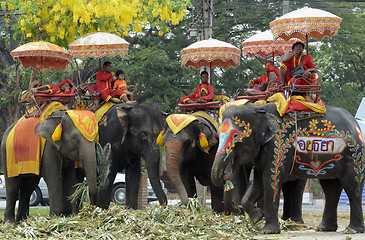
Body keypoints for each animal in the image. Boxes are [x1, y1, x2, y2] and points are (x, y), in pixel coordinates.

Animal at [210, 102, 364, 233]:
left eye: (236, 135)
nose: (226, 175)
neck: (259, 108)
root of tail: (355, 123)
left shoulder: (279, 145)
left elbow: (271, 179)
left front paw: (268, 231)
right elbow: (259, 183)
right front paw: (257, 218)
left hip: (354, 155)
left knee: (352, 186)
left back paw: (352, 230)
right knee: (330, 188)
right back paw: (324, 228)